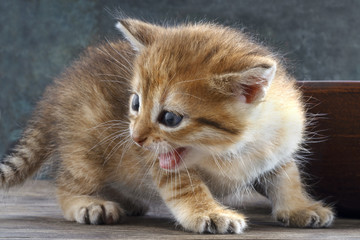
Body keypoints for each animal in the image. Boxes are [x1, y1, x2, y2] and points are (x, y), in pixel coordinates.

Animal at [0, 19, 334, 234]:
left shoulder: (279, 144)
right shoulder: (160, 161)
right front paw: (209, 212)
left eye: (170, 118)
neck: (232, 148)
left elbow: (287, 176)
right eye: (135, 102)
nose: (135, 139)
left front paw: (299, 207)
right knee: (67, 182)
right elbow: (185, 186)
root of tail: (58, 88)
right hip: (84, 144)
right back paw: (88, 203)